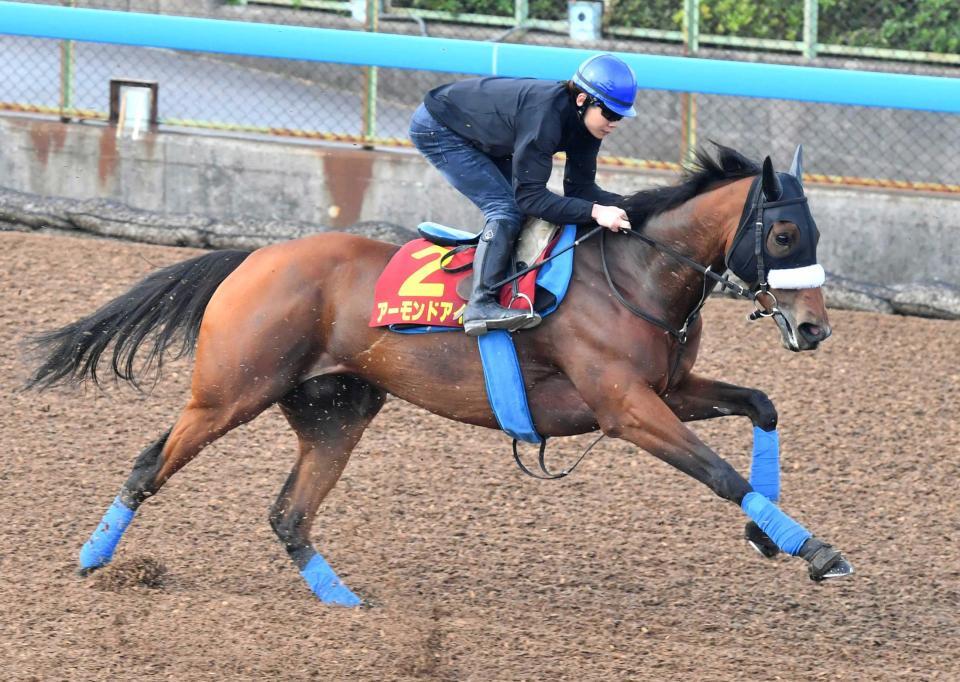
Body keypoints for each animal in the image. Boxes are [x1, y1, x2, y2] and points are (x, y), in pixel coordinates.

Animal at [28, 145, 856, 604]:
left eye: (816, 231)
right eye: (785, 232)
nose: (815, 327)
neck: (635, 274)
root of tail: (253, 257)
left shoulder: (669, 390)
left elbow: (761, 405)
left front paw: (765, 535)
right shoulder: (624, 406)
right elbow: (718, 471)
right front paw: (812, 548)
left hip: (336, 410)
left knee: (289, 514)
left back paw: (344, 603)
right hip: (230, 391)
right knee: (149, 466)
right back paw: (94, 560)